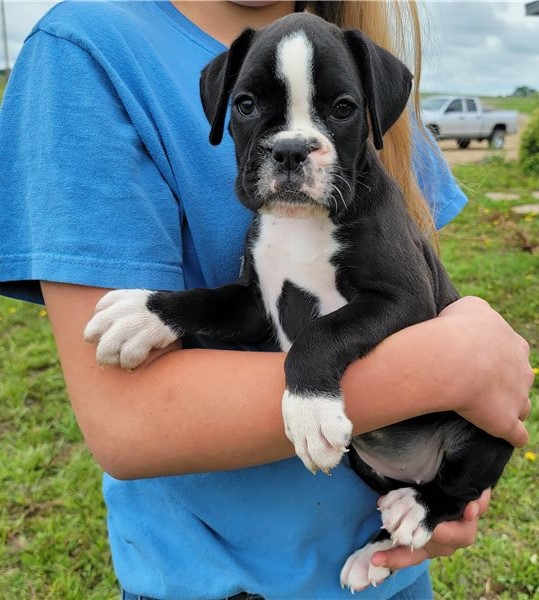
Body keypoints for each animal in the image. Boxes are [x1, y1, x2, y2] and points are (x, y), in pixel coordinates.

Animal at [84, 12, 516, 592]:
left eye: (344, 108)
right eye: (245, 105)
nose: (289, 149)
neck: (301, 221)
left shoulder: (407, 303)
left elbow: (320, 333)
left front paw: (308, 409)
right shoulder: (254, 304)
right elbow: (206, 299)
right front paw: (143, 313)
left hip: (486, 431)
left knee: (459, 491)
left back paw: (418, 509)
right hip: (367, 466)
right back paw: (372, 555)